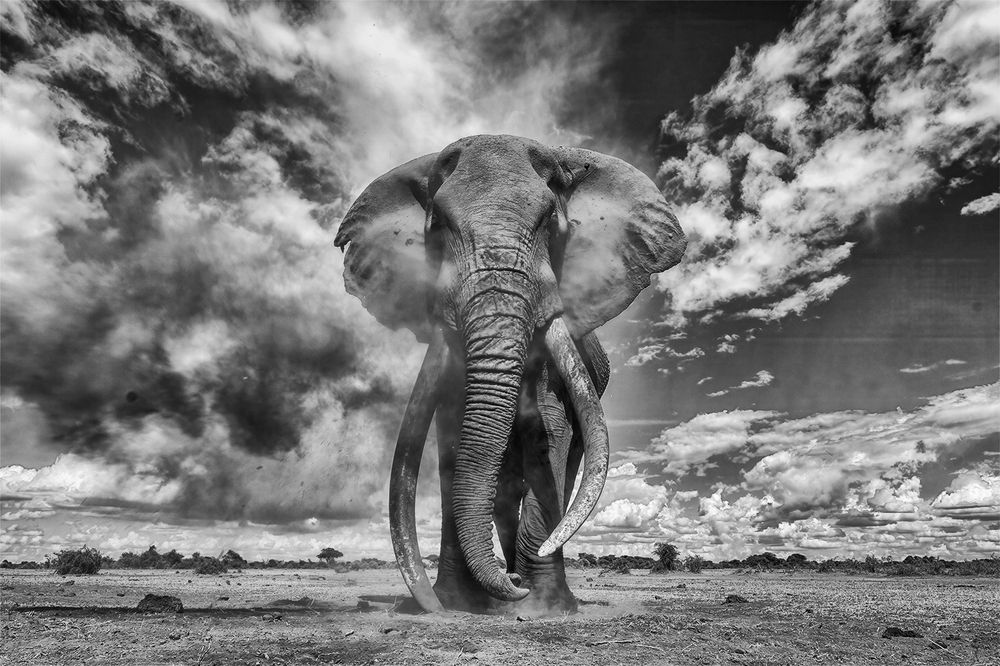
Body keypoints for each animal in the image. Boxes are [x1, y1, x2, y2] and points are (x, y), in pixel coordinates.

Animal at [335, 134, 686, 613]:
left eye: (549, 224)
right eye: (437, 227)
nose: (513, 581)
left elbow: (550, 436)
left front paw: (542, 607)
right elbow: (453, 440)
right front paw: (457, 603)